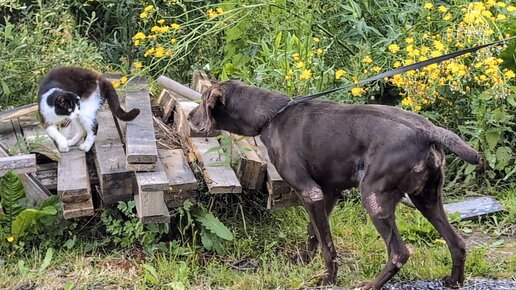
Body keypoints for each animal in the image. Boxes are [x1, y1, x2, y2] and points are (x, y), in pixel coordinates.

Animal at [188, 80, 480, 290]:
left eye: (202, 101)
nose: (190, 117)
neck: (272, 116)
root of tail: (429, 131)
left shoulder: (310, 192)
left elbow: (327, 245)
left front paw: (327, 279)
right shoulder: (327, 192)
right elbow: (314, 232)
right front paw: (303, 262)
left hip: (373, 196)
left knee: (399, 253)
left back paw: (371, 285)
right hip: (426, 198)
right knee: (457, 243)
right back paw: (454, 281)